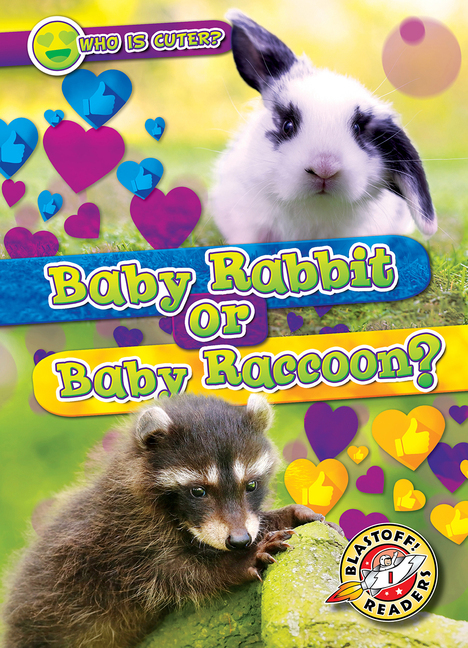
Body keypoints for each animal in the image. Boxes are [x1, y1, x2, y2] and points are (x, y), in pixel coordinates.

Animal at [2, 394, 342, 648]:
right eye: (198, 491)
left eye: (251, 485)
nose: (239, 541)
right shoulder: (120, 538)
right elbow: (176, 572)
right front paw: (236, 562)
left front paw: (279, 517)